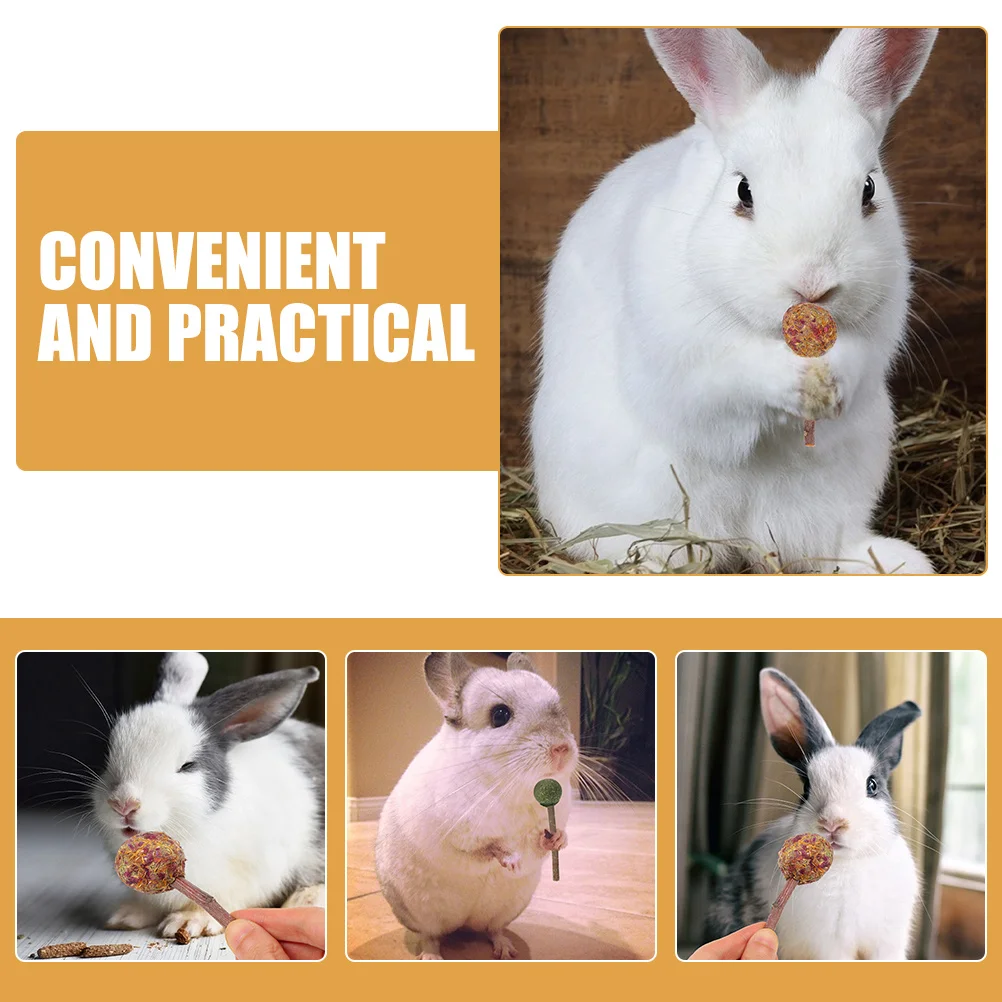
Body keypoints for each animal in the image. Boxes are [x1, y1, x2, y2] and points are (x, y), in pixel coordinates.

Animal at [90, 651, 326, 938]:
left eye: (187, 766)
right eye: (109, 756)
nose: (124, 804)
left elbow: (219, 900)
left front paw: (189, 922)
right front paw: (125, 917)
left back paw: (303, 902)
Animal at [375, 652, 578, 959]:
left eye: (560, 708)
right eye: (500, 715)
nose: (562, 748)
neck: (511, 785)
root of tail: (462, 924)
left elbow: (541, 845)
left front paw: (557, 840)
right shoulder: (459, 836)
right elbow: (488, 848)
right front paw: (513, 862)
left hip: (505, 911)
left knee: (492, 929)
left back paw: (506, 950)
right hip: (420, 917)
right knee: (430, 937)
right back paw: (432, 957)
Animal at [529, 28, 939, 573]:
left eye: (869, 190)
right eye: (743, 191)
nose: (813, 283)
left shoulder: (877, 339)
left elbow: (858, 361)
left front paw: (831, 382)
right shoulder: (686, 368)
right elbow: (732, 379)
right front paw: (794, 382)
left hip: (841, 487)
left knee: (825, 546)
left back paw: (896, 562)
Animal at [705, 667, 921, 959]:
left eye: (873, 785)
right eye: (806, 788)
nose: (832, 823)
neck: (850, 864)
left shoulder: (888, 943)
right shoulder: (829, 946)